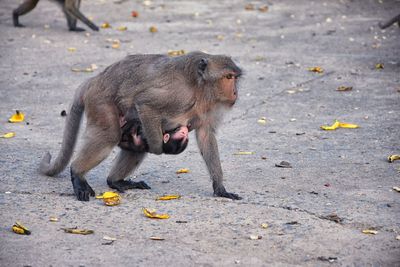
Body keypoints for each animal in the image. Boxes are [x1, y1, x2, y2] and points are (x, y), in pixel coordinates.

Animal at [39, 51, 241, 201]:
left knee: (133, 147)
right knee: (110, 136)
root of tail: (93, 81)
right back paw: (77, 173)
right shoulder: (178, 94)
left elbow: (206, 137)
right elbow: (145, 104)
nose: (235, 92)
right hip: (100, 102)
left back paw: (115, 181)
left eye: (234, 78)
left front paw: (220, 188)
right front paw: (160, 147)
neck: (200, 89)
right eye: (228, 77)